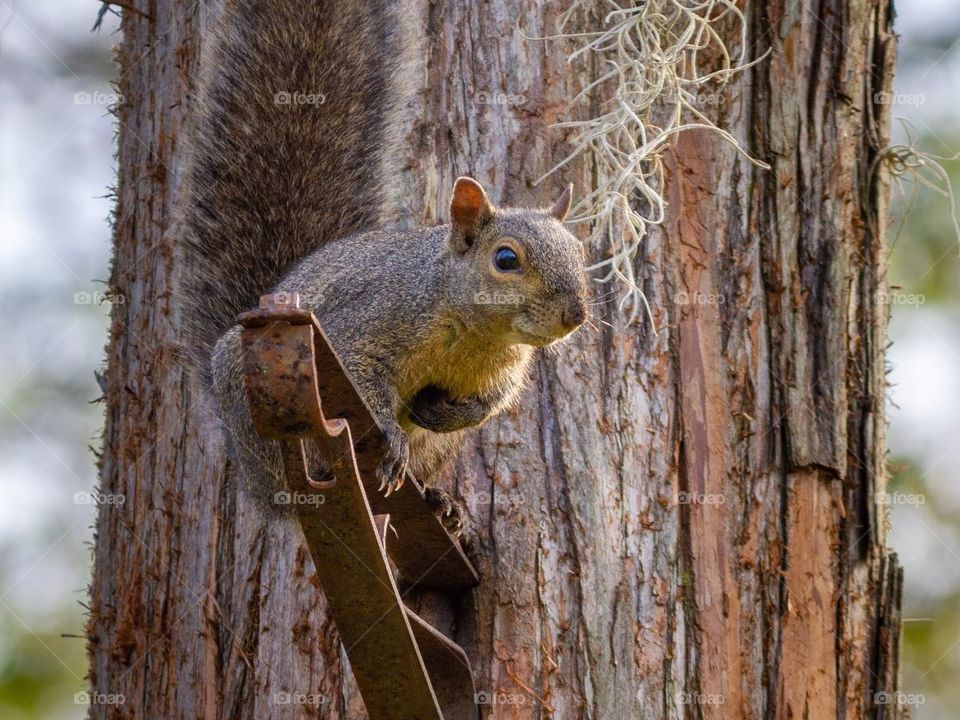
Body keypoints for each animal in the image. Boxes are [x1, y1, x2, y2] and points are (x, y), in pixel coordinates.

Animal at [177, 0, 588, 530]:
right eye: (505, 258)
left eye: (579, 252)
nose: (575, 315)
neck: (477, 333)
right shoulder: (366, 323)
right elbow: (362, 378)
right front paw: (391, 437)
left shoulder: (504, 369)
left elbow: (488, 404)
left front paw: (442, 412)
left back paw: (439, 501)